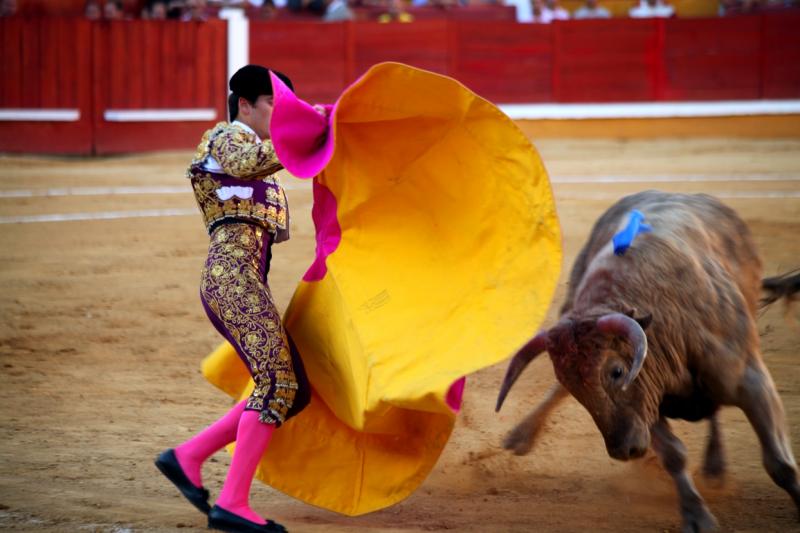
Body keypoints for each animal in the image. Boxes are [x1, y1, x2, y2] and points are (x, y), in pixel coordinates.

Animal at [496, 189, 796, 528]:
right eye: (574, 385)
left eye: (616, 372)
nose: (623, 450)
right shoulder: (647, 403)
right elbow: (674, 456)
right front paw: (696, 516)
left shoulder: (752, 382)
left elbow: (780, 464)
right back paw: (520, 436)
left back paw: (715, 466)